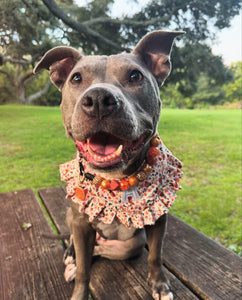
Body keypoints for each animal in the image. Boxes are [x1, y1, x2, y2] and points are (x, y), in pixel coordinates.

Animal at [33, 31, 183, 300]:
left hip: (131, 244)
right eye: (76, 78)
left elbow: (155, 256)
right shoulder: (81, 224)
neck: (115, 179)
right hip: (71, 217)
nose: (98, 99)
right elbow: (84, 270)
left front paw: (159, 284)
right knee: (79, 247)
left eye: (135, 76)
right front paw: (79, 287)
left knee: (99, 251)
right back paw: (71, 258)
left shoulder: (158, 220)